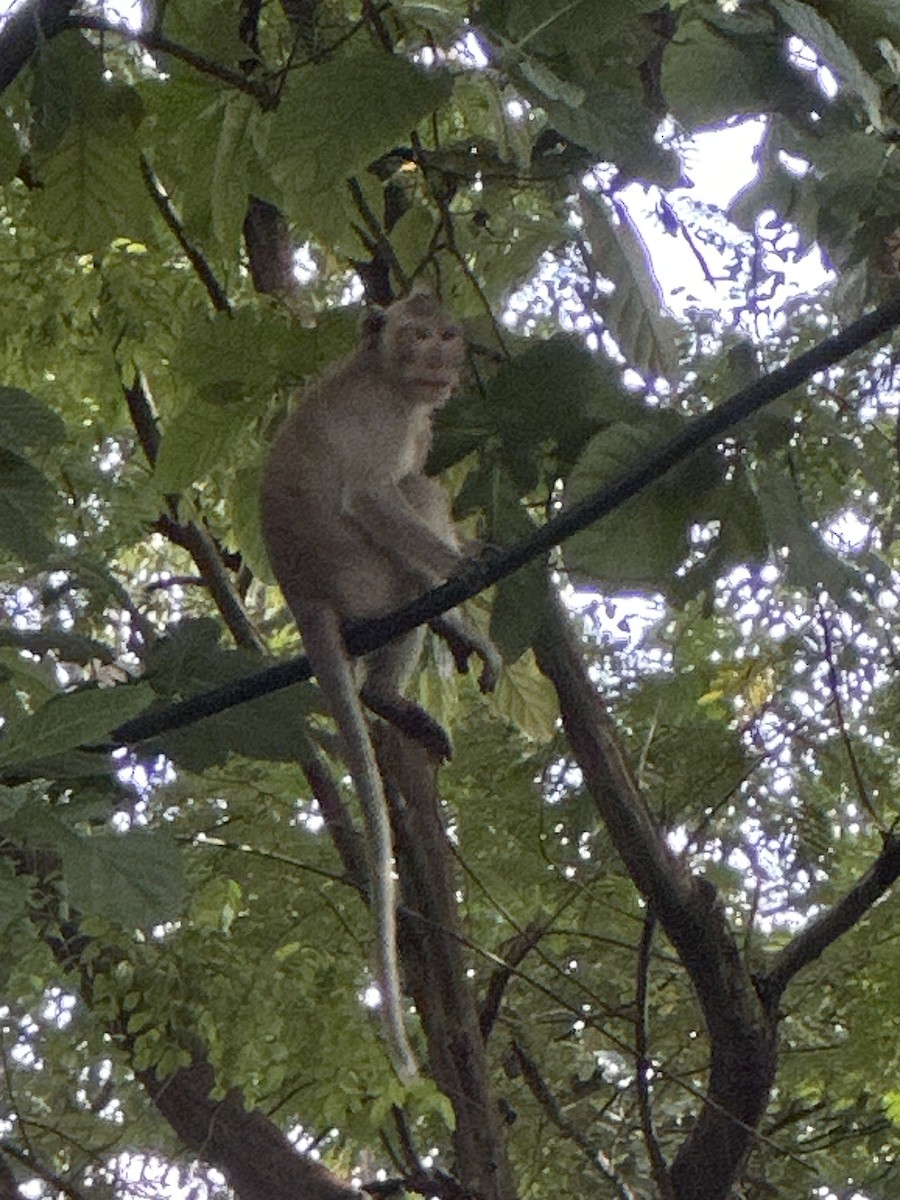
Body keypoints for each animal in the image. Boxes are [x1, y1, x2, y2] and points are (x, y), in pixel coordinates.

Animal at [260, 293, 500, 1077]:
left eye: (446, 334)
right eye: (415, 333)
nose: (436, 356)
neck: (384, 373)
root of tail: (306, 598)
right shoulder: (388, 419)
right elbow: (372, 493)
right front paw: (467, 590)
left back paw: (386, 698)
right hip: (368, 581)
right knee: (412, 492)